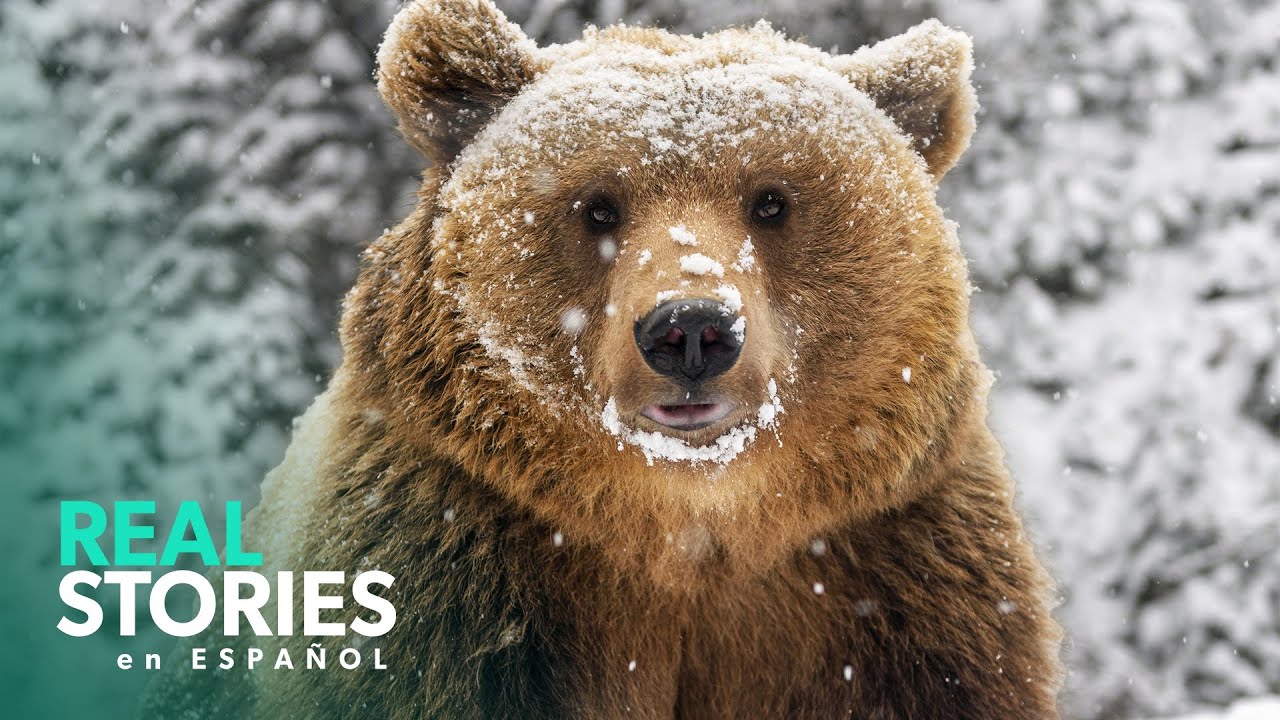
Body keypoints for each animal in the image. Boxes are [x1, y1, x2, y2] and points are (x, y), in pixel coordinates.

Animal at [144, 1, 1063, 718]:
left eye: (771, 201)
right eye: (597, 206)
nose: (690, 330)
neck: (690, 529)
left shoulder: (899, 594)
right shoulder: (450, 586)